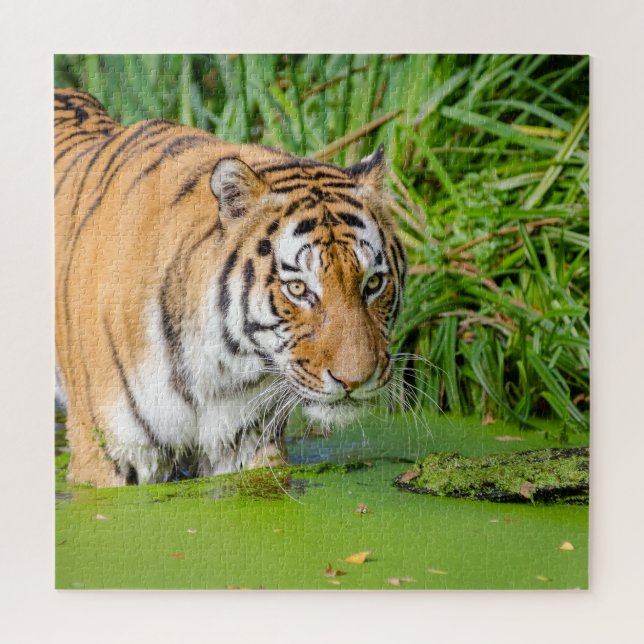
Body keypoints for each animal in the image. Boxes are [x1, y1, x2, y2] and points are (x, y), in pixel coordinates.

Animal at [54, 88, 406, 487]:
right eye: (298, 289)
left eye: (373, 283)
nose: (354, 381)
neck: (219, 368)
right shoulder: (110, 453)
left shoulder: (246, 443)